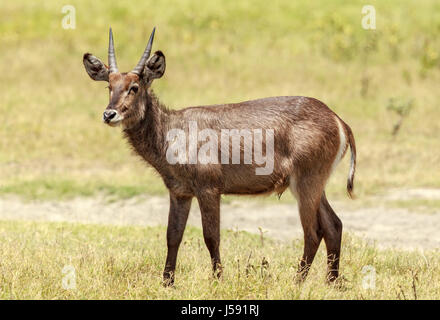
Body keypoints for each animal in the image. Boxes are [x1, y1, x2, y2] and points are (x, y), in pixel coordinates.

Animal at [82, 28, 356, 284]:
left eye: (134, 87)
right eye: (109, 86)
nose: (109, 114)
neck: (172, 131)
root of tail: (338, 119)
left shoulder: (209, 188)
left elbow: (211, 236)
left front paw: (217, 279)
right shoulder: (180, 192)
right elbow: (173, 235)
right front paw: (167, 282)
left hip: (306, 182)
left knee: (313, 232)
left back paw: (297, 282)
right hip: (314, 184)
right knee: (334, 225)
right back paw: (331, 282)